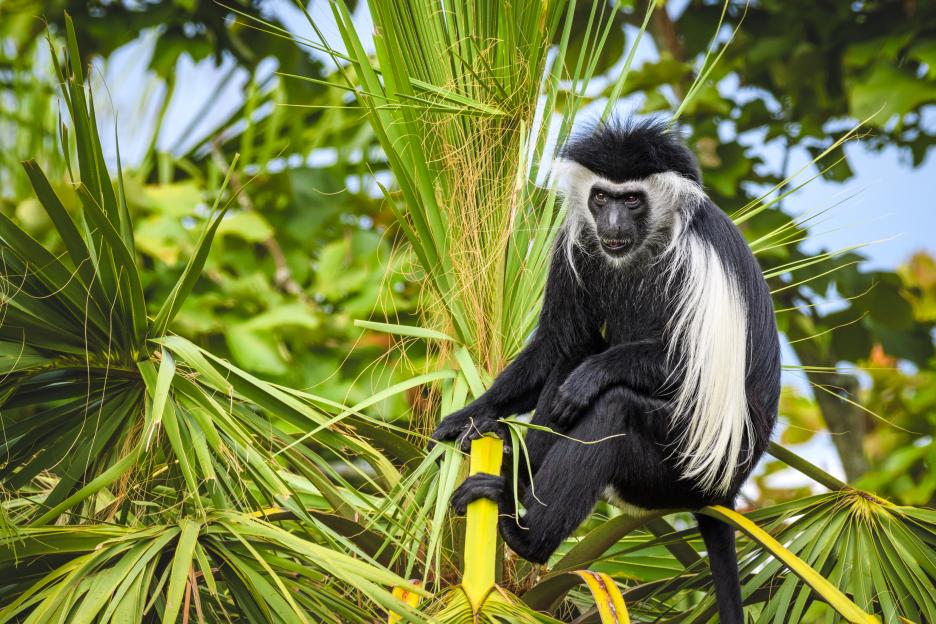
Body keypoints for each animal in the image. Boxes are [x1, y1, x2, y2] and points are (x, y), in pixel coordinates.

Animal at [431, 118, 780, 623]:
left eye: (631, 199)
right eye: (601, 197)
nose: (611, 224)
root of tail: (724, 491)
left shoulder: (693, 264)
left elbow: (683, 366)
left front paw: (591, 376)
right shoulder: (575, 241)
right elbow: (556, 345)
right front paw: (469, 417)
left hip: (673, 469)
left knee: (614, 408)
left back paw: (523, 533)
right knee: (571, 358)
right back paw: (512, 473)